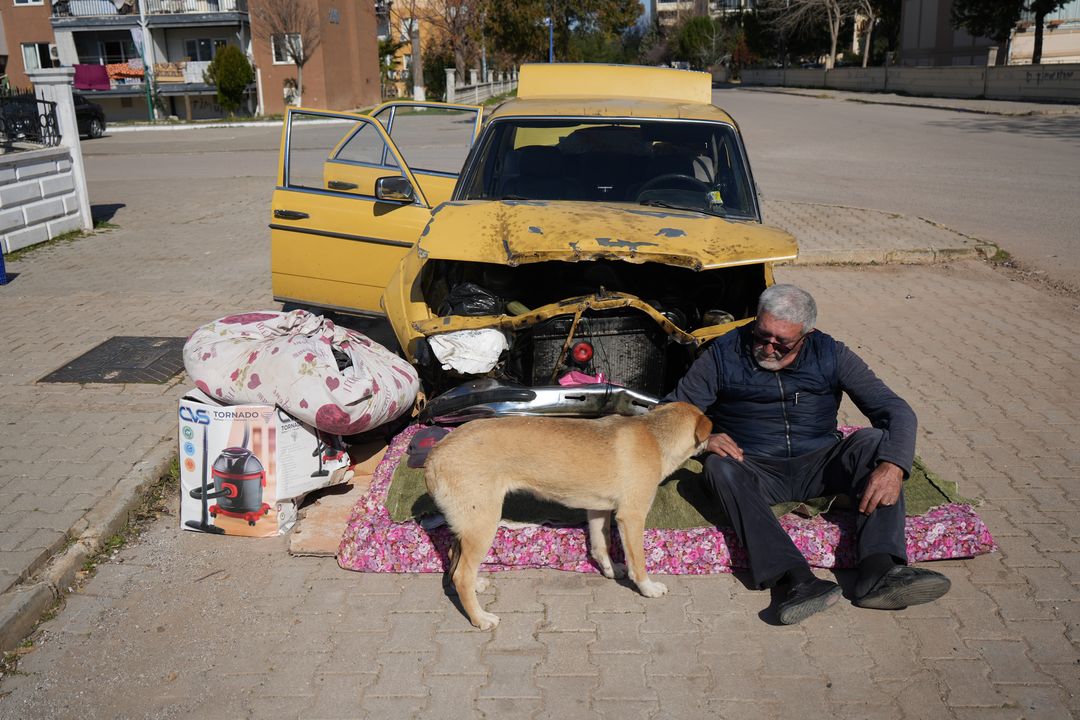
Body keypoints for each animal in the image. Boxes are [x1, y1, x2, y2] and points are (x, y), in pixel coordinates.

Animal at [423, 403, 717, 626]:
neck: (655, 436)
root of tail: (434, 455)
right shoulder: (632, 516)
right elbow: (639, 562)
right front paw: (648, 588)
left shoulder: (598, 509)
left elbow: (601, 545)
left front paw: (611, 569)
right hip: (483, 523)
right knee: (461, 575)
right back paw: (480, 618)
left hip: (468, 524)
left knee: (454, 557)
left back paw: (477, 585)